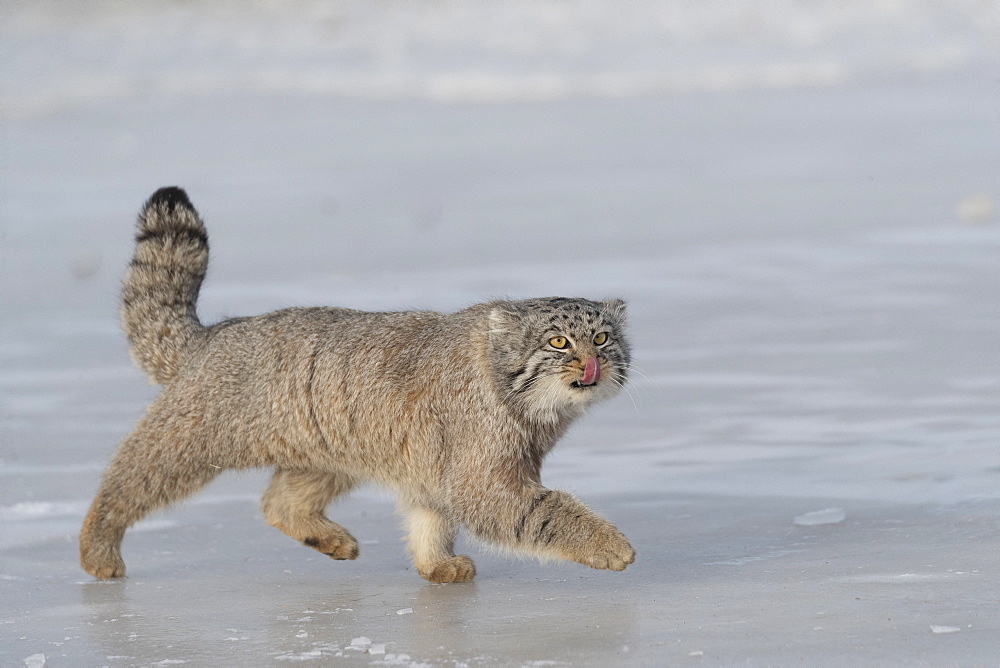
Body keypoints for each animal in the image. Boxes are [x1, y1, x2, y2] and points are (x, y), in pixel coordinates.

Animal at [82, 185, 636, 580]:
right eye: (559, 343)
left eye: (603, 337)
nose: (592, 364)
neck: (517, 397)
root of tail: (211, 333)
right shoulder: (483, 478)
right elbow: (546, 512)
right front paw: (608, 545)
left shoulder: (433, 471)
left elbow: (431, 518)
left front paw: (436, 565)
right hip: (190, 441)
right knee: (124, 481)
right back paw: (97, 546)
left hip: (329, 454)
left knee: (278, 502)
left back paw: (330, 538)